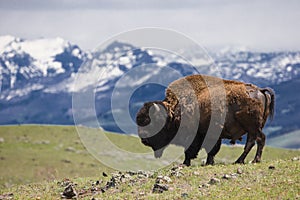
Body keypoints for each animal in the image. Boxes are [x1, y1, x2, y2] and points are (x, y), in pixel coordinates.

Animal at [137, 74, 274, 166]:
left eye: (151, 122)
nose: (143, 140)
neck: (174, 111)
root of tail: (260, 90)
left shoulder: (195, 136)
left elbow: (191, 151)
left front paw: (185, 163)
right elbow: (211, 150)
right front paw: (209, 162)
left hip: (252, 127)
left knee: (259, 139)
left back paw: (253, 160)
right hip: (252, 128)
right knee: (252, 142)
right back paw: (240, 160)